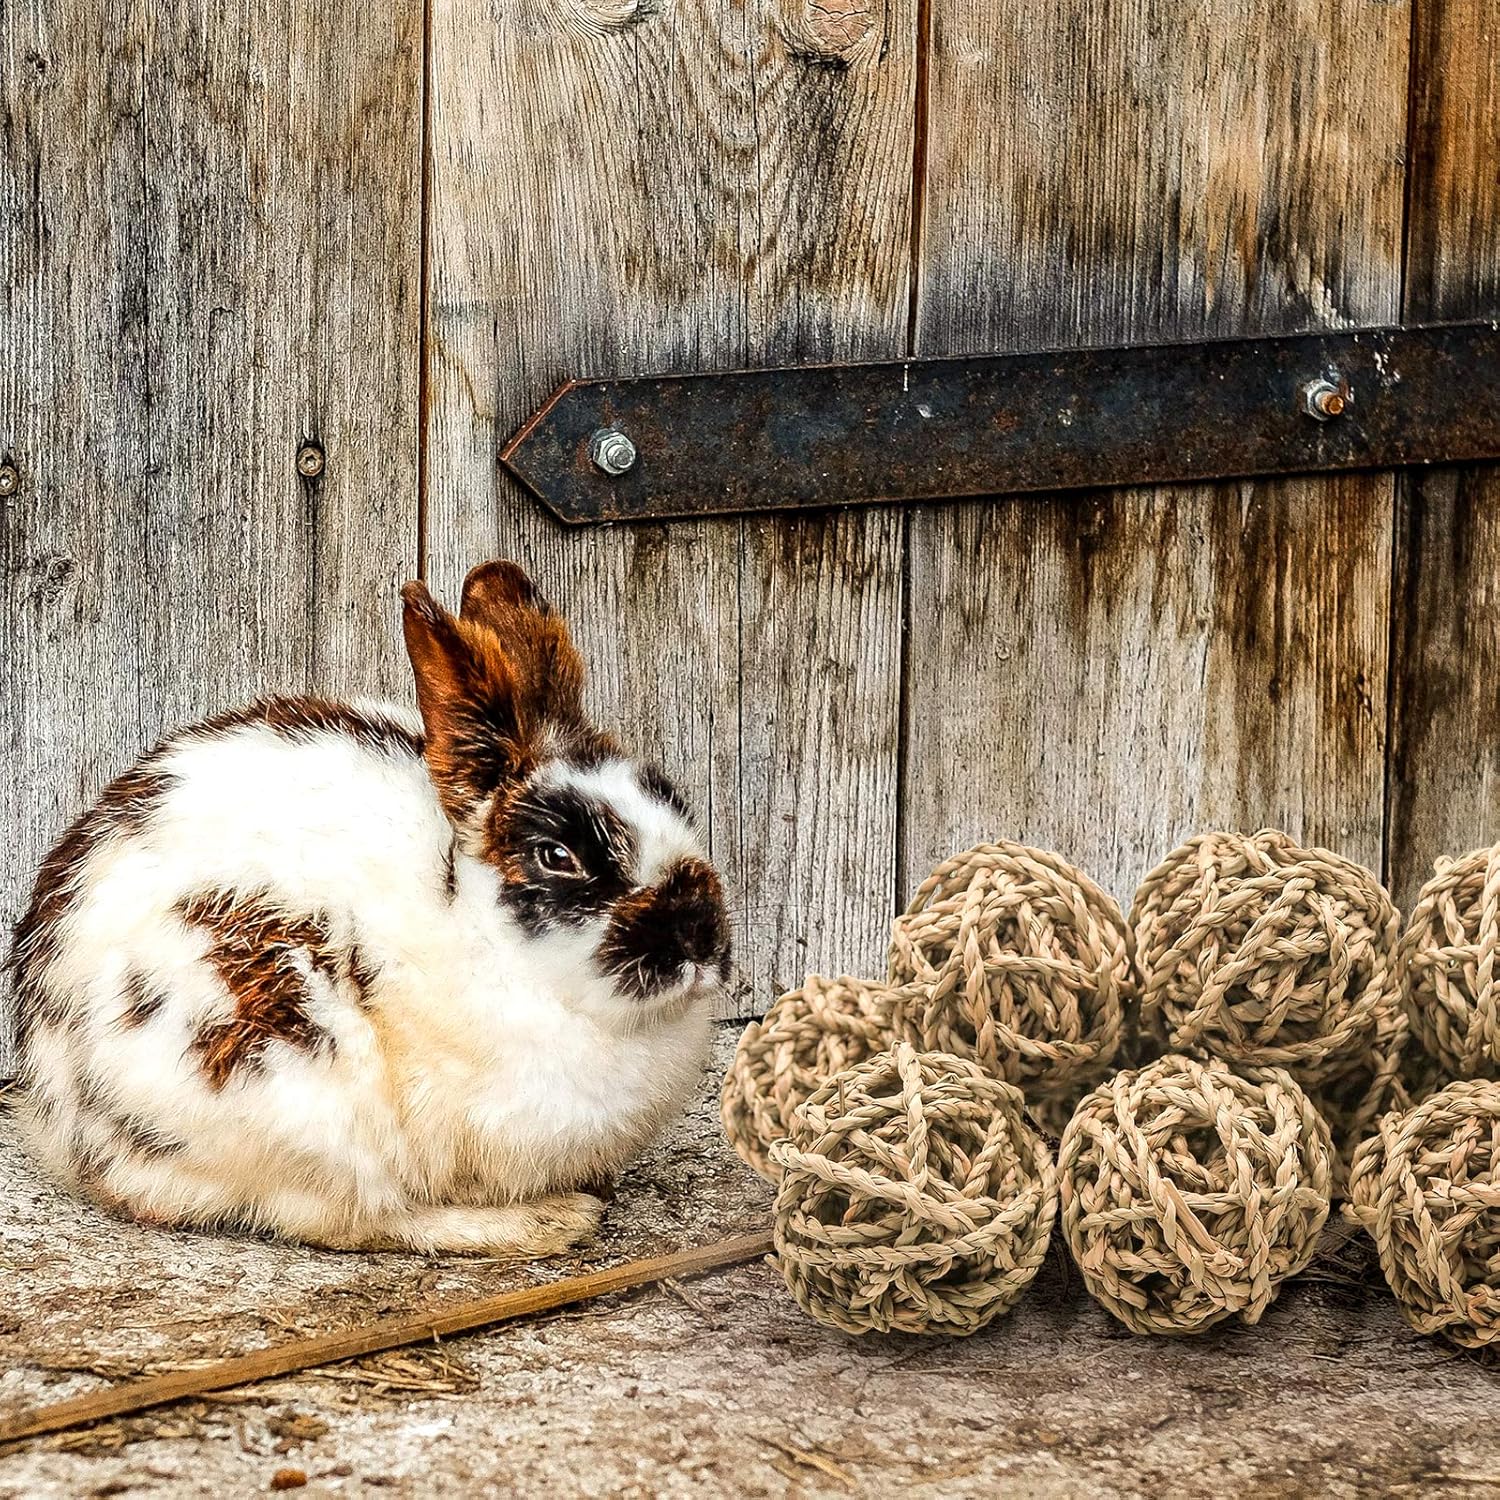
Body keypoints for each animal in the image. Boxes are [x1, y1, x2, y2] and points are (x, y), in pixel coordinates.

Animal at [6, 561, 730, 1256]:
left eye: (674, 802)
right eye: (557, 856)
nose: (700, 934)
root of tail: (63, 1115)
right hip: (295, 1079)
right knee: (355, 1218)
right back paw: (548, 1222)